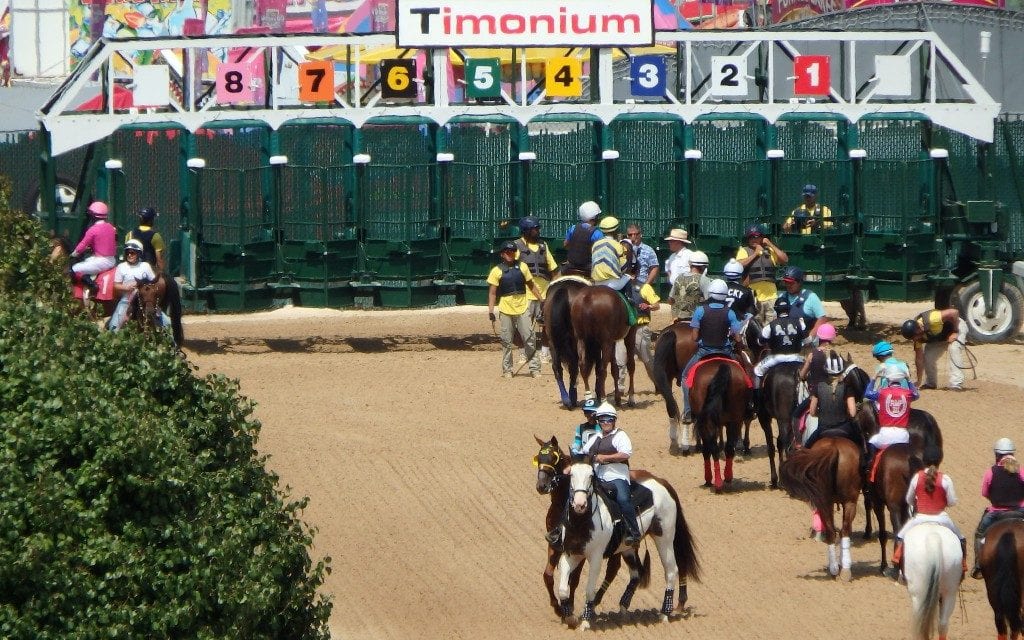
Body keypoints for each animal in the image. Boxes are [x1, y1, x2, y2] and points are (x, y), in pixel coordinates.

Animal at [540, 276, 589, 407]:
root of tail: (563, 290)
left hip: (553, 342)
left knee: (557, 368)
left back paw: (566, 399)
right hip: (576, 341)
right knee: (575, 366)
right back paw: (572, 398)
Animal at [557, 458, 700, 630]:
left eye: (591, 477)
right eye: (571, 475)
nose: (580, 504)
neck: (582, 524)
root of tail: (661, 482)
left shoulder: (596, 559)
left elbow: (589, 590)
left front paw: (585, 621)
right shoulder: (570, 554)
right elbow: (563, 589)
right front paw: (570, 618)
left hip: (664, 539)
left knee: (671, 571)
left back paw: (664, 613)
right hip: (628, 549)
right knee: (637, 572)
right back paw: (623, 608)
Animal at [688, 360, 753, 489]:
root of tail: (721, 366)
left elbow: (706, 450)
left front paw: (708, 479)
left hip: (708, 423)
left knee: (711, 447)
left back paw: (715, 481)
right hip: (734, 420)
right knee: (729, 448)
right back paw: (726, 478)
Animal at [782, 436, 864, 581]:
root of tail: (834, 447)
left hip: (829, 502)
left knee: (835, 532)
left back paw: (837, 570)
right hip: (848, 502)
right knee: (842, 531)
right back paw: (842, 570)